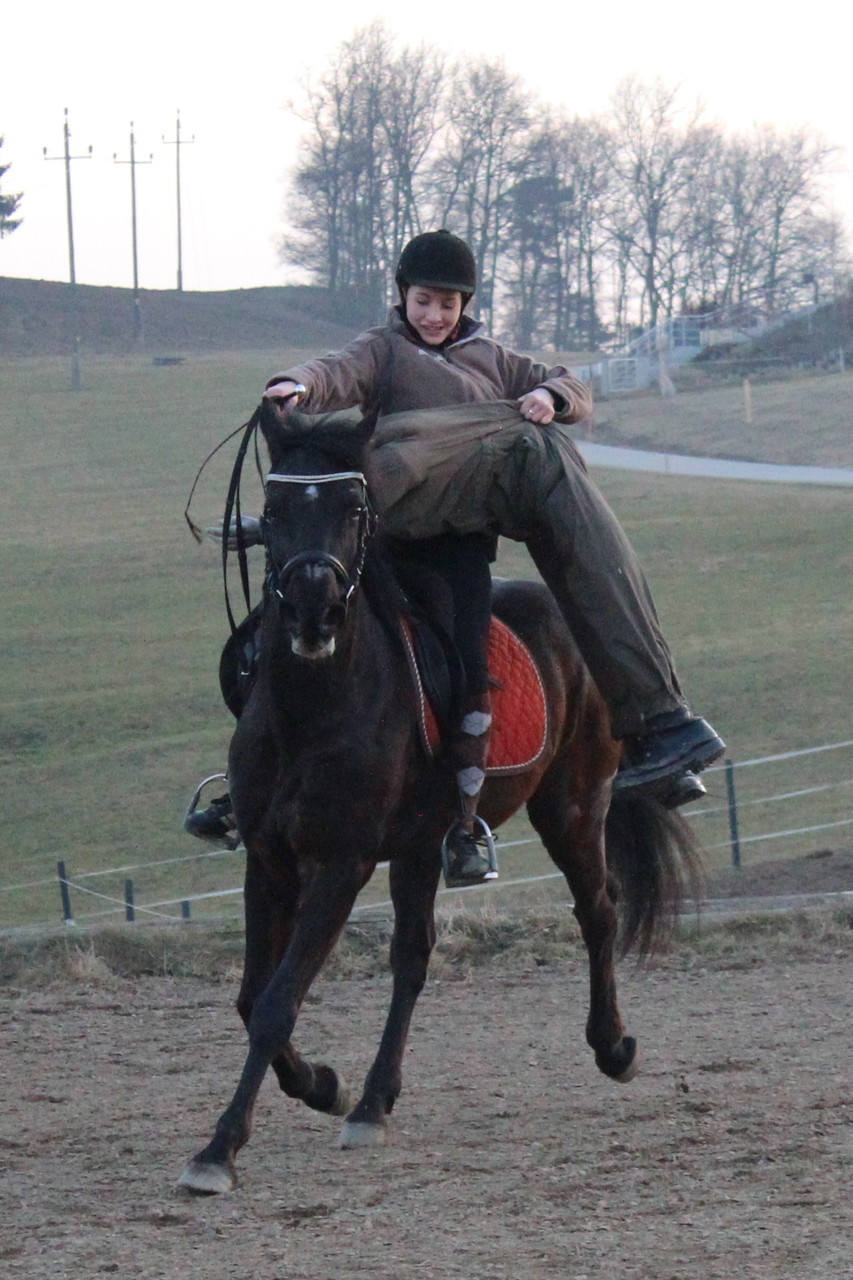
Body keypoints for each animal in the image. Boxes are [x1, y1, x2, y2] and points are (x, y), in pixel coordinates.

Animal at [178, 404, 696, 1192]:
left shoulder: (342, 862)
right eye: (271, 510)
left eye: (353, 506)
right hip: (423, 846)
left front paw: (219, 1148)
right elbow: (253, 997)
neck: (312, 710)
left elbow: (276, 1002)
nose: (313, 610)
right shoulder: (267, 859)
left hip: (572, 808)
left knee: (598, 910)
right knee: (414, 958)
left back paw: (612, 1047)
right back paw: (371, 1101)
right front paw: (322, 1085)